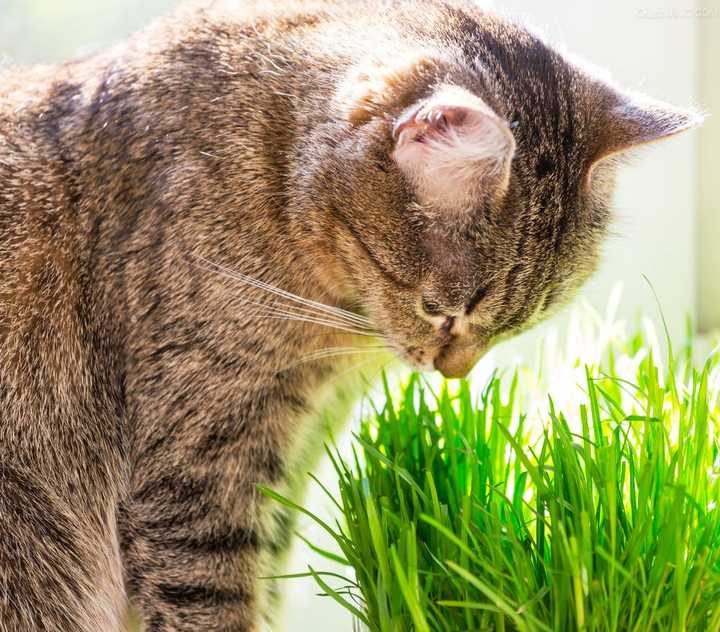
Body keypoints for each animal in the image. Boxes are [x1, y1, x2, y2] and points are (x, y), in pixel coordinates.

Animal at [0, 1, 700, 632]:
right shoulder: (199, 452)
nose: (453, 372)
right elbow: (211, 593)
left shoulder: (284, 463)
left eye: (518, 325)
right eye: (439, 311)